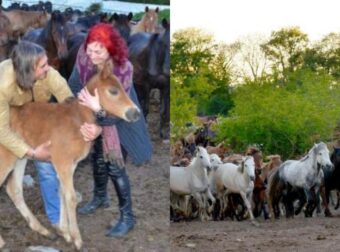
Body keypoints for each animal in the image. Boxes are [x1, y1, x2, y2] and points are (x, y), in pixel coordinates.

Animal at [0, 60, 139, 250]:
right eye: (113, 91)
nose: (136, 113)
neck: (79, 119)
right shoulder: (63, 162)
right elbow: (71, 197)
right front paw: (77, 239)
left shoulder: (70, 164)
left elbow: (62, 194)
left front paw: (65, 233)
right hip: (6, 157)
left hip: (20, 157)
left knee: (13, 189)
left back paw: (43, 231)